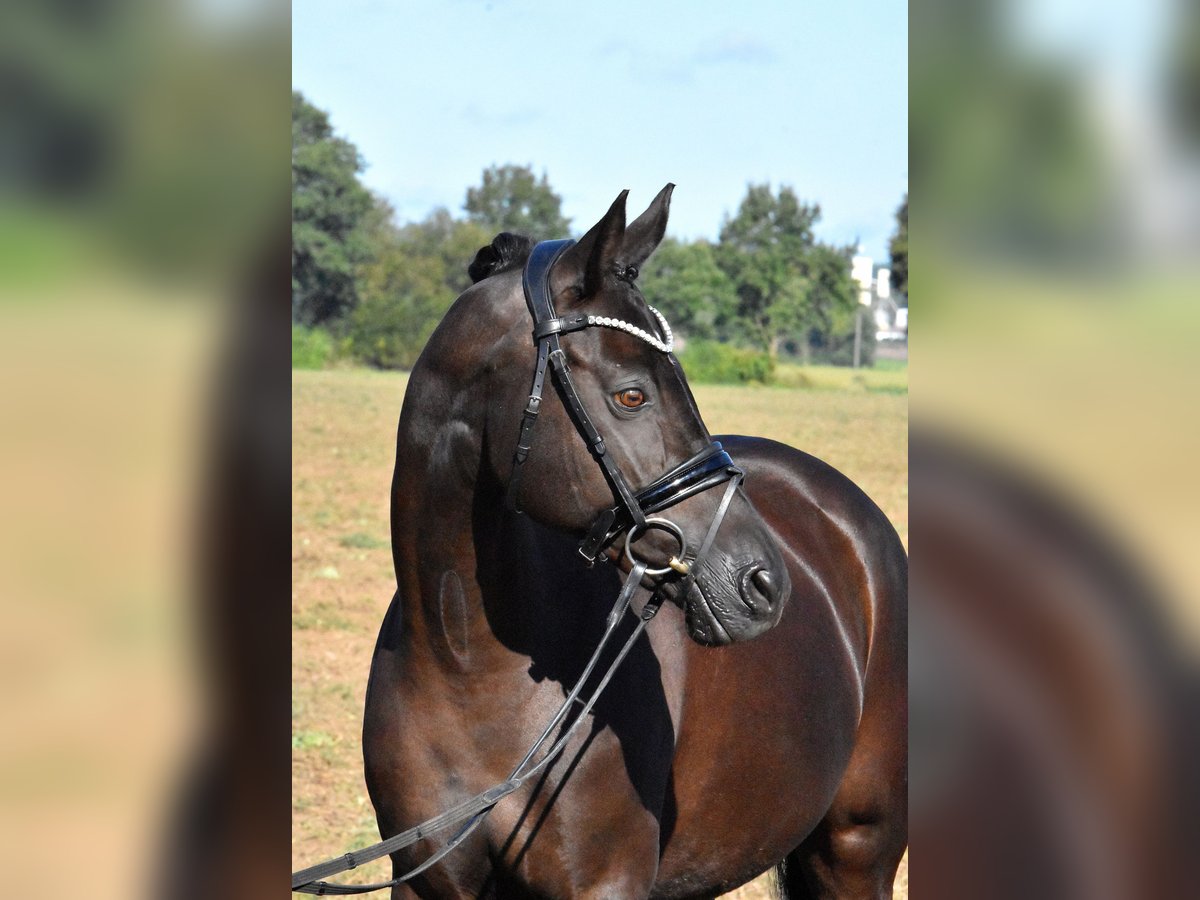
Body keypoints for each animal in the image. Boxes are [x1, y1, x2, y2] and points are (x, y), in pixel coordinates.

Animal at [360, 187, 902, 897]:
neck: (464, 666)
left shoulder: (605, 883)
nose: (763, 583)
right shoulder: (421, 880)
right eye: (631, 394)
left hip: (857, 848)